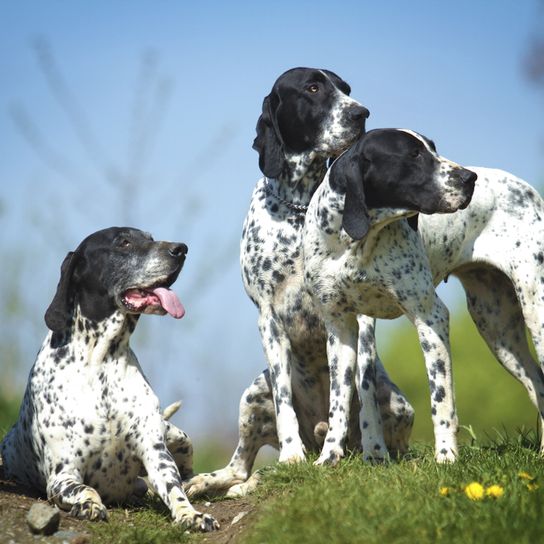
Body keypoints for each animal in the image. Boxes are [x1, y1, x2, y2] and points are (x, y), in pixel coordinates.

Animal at [2, 226, 219, 532]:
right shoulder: (62, 475)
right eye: (123, 242)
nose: (181, 249)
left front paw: (191, 514)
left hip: (178, 436)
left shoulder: (157, 456)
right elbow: (85, 488)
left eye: (150, 238)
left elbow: (174, 488)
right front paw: (89, 505)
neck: (101, 359)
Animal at [302, 129, 476, 464]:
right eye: (413, 155)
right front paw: (328, 457)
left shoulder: (431, 317)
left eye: (432, 149)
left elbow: (441, 398)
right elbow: (338, 401)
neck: (355, 242)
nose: (470, 177)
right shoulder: (340, 328)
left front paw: (446, 457)